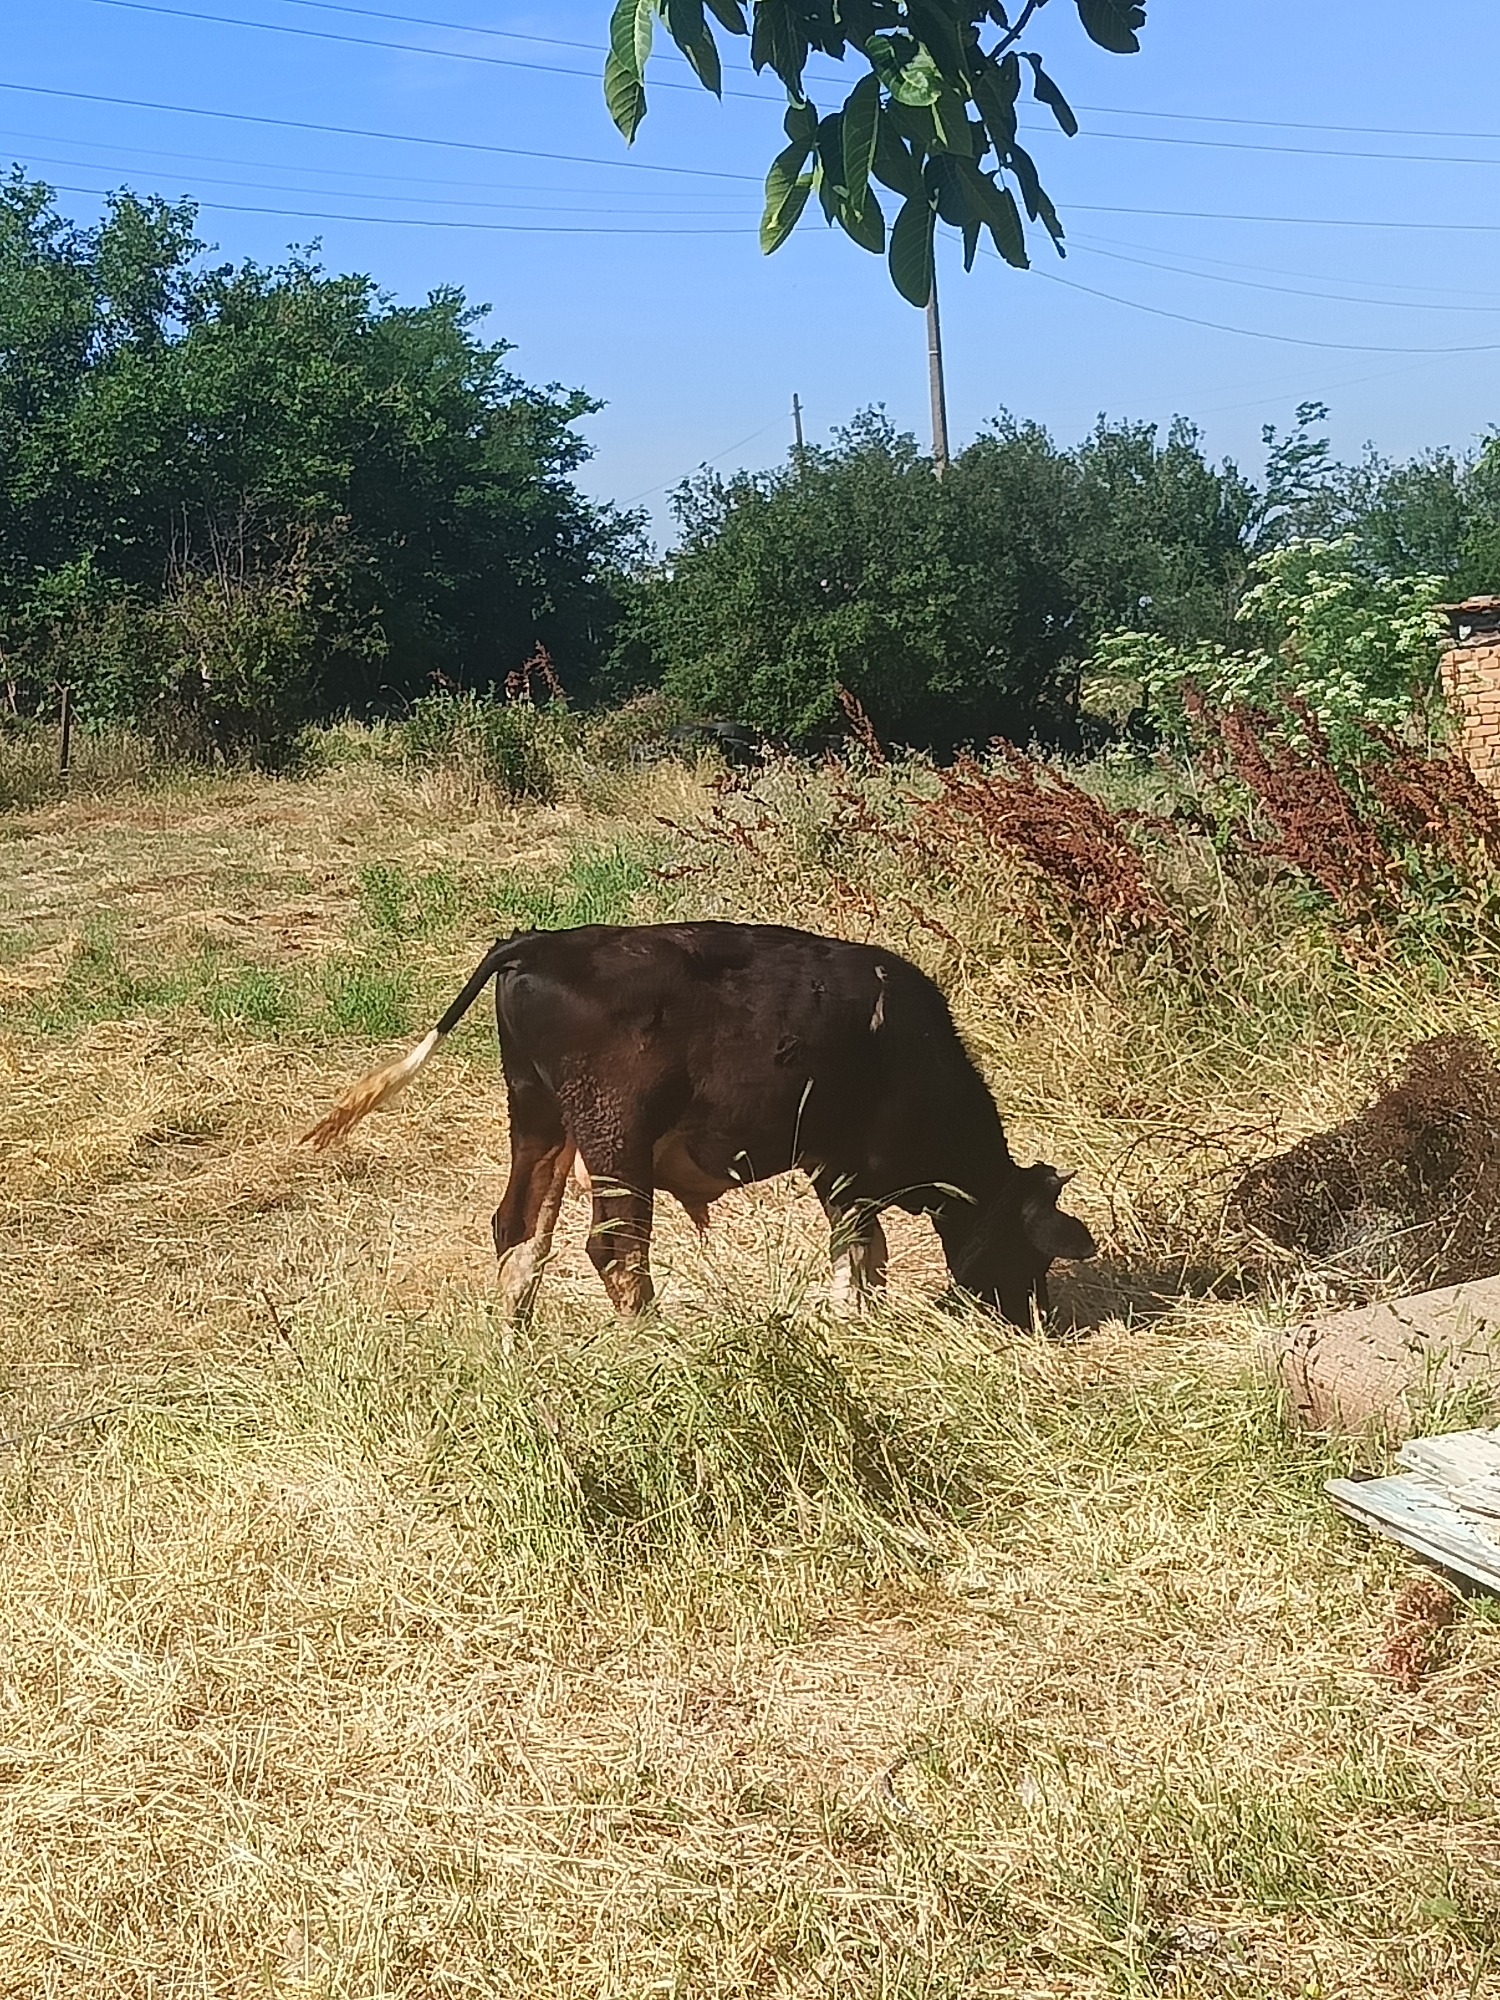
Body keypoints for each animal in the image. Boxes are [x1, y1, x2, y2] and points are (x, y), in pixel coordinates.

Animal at [302, 921, 1095, 1325]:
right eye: (1034, 1256)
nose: (1032, 1319)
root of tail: (538, 941)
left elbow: (864, 1252)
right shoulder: (843, 1163)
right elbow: (860, 1249)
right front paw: (853, 1323)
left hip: (539, 1114)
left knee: (520, 1228)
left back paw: (516, 1344)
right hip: (614, 1131)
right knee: (614, 1247)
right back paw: (650, 1341)